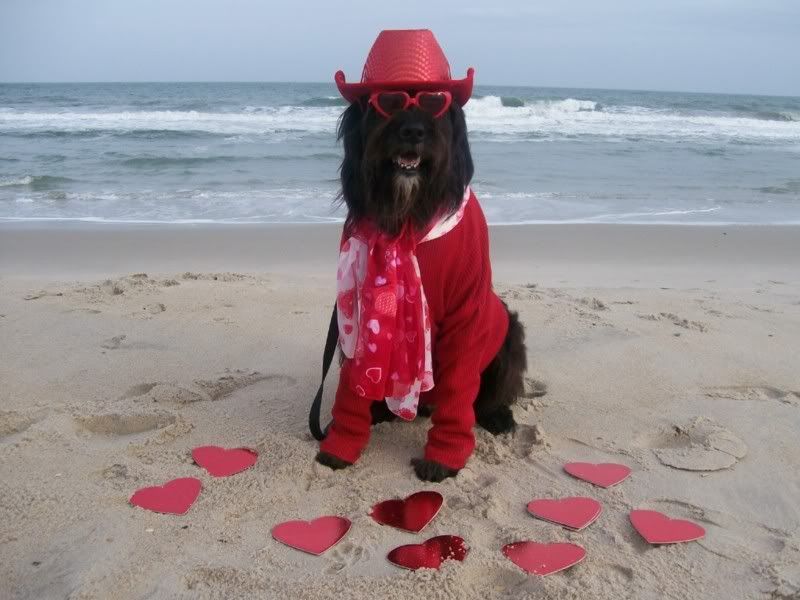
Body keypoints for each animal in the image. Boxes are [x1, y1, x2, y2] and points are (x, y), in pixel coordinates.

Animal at [314, 29, 527, 482]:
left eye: (432, 101)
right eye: (388, 102)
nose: (412, 131)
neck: (410, 216)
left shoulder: (468, 314)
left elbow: (460, 389)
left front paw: (443, 457)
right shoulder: (362, 311)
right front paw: (341, 444)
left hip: (508, 332)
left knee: (490, 391)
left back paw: (496, 415)